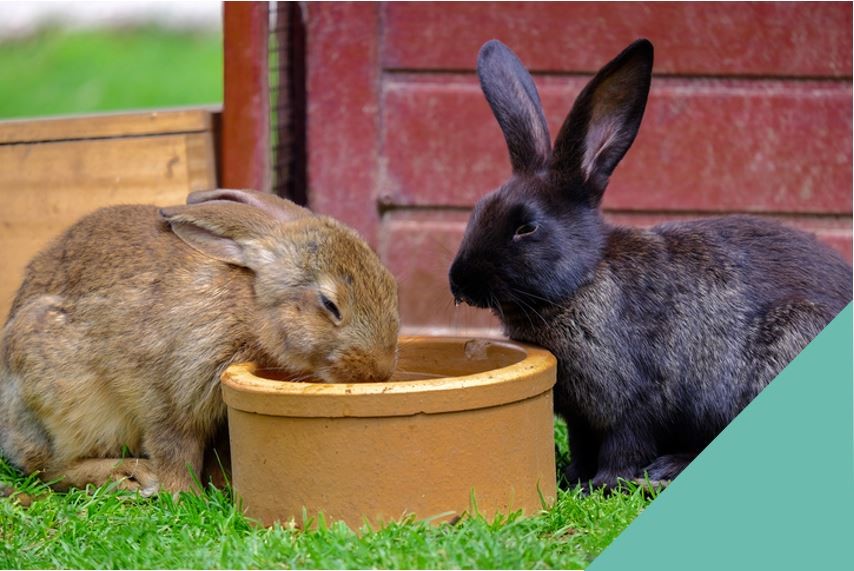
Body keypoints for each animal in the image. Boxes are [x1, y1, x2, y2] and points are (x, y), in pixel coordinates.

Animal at [0, 190, 402, 494]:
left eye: (390, 284)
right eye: (329, 304)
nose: (378, 371)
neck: (249, 308)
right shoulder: (171, 395)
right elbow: (175, 449)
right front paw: (184, 496)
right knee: (47, 469)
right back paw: (131, 475)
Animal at [452, 38, 852, 490]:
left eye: (526, 227)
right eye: (478, 210)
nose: (459, 282)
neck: (583, 282)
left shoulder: (638, 401)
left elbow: (625, 445)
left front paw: (604, 484)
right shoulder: (580, 418)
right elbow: (583, 444)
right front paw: (573, 478)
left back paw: (665, 470)